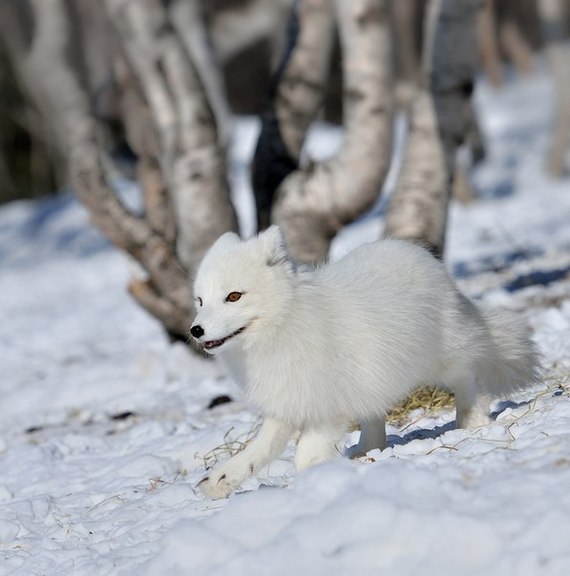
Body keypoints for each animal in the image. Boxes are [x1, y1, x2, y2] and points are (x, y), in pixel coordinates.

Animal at [190, 227, 536, 498]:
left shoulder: (327, 406)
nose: (196, 330)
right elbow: (259, 450)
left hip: (444, 358)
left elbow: (304, 454)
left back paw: (472, 418)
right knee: (375, 415)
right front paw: (222, 478)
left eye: (234, 296)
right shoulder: (288, 401)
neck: (283, 327)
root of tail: (423, 256)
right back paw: (368, 449)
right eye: (200, 301)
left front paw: (315, 477)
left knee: (471, 371)